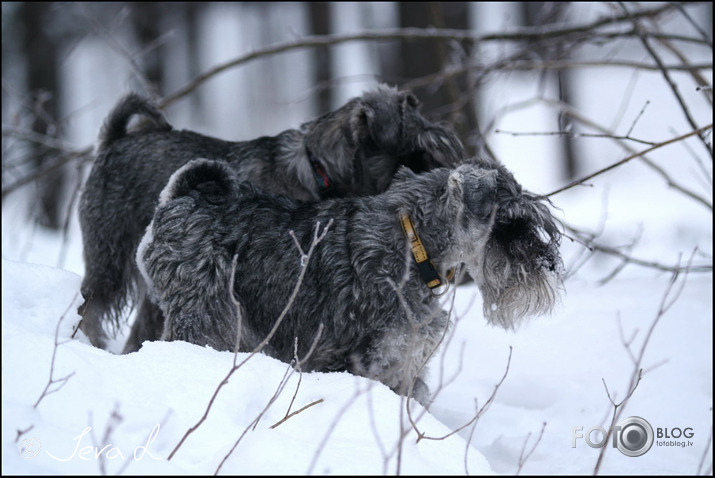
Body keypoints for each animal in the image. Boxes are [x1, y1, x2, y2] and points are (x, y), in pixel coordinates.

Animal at [138, 158, 564, 404]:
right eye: (509, 221)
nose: (550, 264)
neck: (414, 245)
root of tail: (180, 197)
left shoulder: (407, 368)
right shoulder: (364, 362)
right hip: (205, 318)